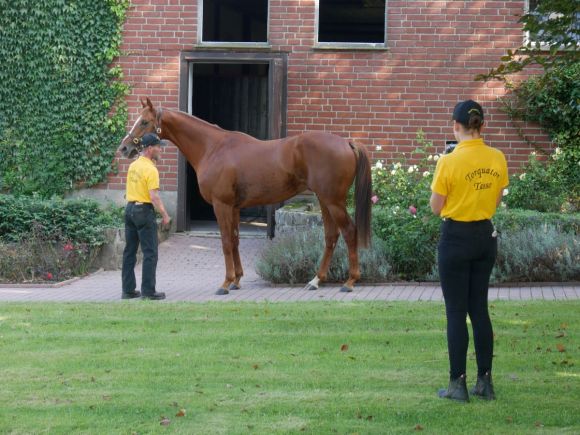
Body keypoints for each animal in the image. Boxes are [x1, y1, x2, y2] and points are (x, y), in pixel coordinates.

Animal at [118, 98, 372, 294]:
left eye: (144, 122)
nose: (124, 148)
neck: (213, 147)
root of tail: (347, 142)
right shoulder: (234, 207)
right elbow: (235, 240)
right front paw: (237, 279)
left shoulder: (221, 205)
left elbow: (225, 242)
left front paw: (226, 283)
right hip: (324, 200)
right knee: (331, 236)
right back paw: (315, 280)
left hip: (333, 201)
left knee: (349, 232)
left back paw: (350, 282)